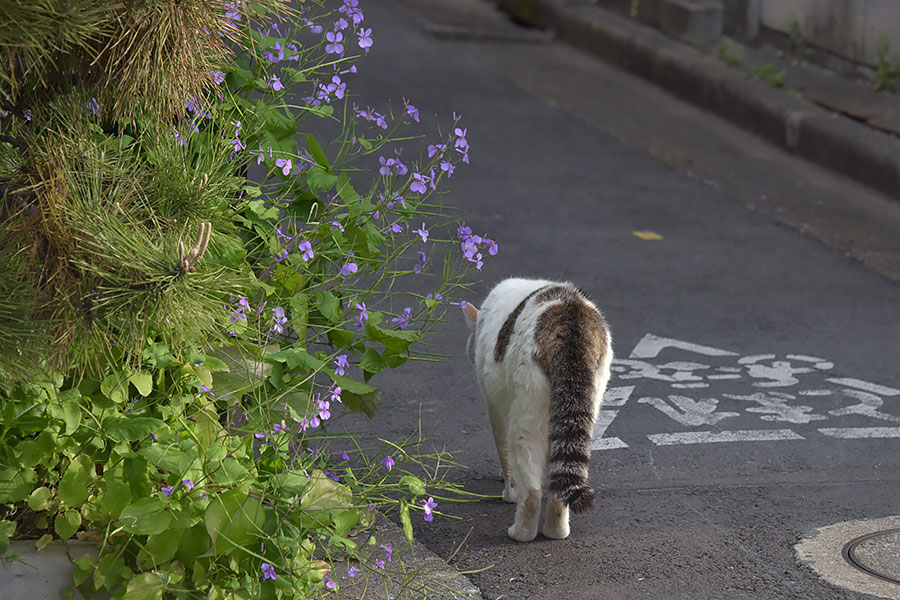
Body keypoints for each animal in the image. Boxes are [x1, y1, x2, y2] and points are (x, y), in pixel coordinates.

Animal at [460, 278, 616, 540]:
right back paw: (557, 529)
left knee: (532, 488)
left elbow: (504, 453)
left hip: (527, 407)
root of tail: (570, 317)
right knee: (559, 479)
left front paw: (509, 492)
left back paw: (521, 532)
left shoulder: (495, 406)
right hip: (585, 403)